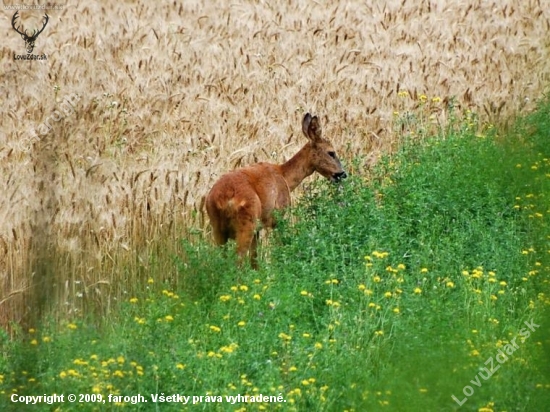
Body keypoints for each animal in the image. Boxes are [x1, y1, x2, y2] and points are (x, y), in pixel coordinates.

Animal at [205, 112, 348, 268]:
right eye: (331, 153)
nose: (342, 174)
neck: (284, 176)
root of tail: (225, 198)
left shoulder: (258, 228)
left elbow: (254, 259)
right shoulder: (279, 215)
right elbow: (280, 246)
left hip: (217, 227)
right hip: (247, 222)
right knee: (238, 261)